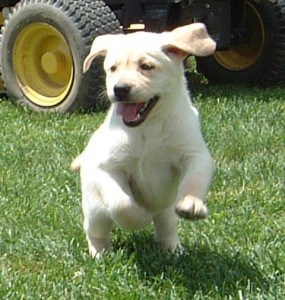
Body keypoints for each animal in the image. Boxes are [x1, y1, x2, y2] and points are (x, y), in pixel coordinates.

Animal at [71, 24, 215, 258]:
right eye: (112, 69)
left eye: (146, 66)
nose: (120, 89)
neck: (148, 128)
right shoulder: (107, 168)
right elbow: (121, 205)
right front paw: (140, 217)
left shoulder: (194, 154)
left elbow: (195, 179)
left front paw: (191, 204)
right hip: (95, 208)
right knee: (95, 229)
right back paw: (99, 253)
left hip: (167, 210)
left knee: (166, 226)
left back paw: (173, 249)